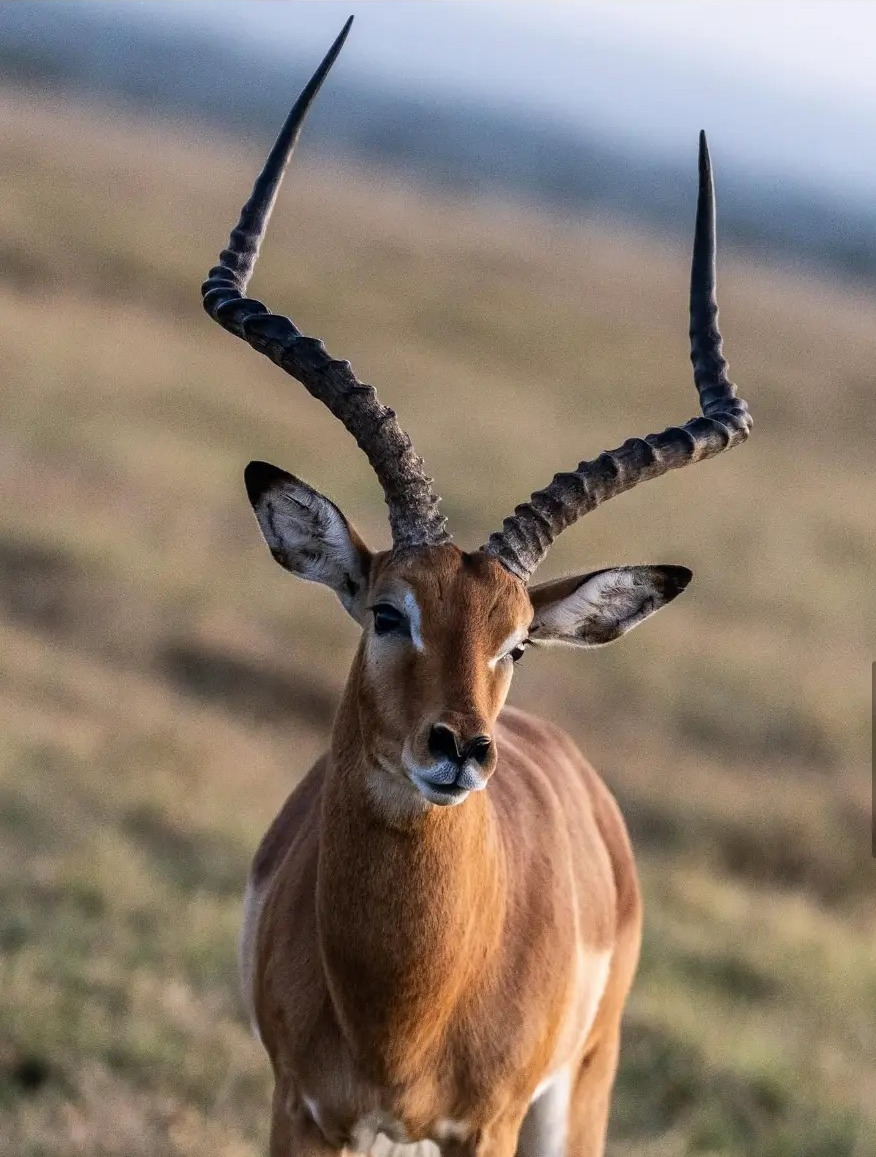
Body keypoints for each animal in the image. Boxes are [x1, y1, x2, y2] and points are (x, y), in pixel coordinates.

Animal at [201, 18, 751, 1157]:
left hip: (576, 1095)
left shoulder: (485, 1123)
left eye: (516, 642)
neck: (403, 1005)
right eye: (386, 609)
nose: (459, 747)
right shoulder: (299, 1106)